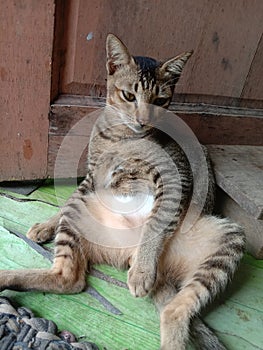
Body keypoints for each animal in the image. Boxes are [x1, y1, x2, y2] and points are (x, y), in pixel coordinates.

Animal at [0, 33, 245, 350]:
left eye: (161, 101)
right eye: (129, 96)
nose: (142, 120)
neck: (121, 136)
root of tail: (128, 251)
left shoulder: (176, 178)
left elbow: (157, 221)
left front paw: (143, 271)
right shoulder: (91, 178)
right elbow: (66, 199)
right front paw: (45, 225)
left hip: (227, 238)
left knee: (172, 309)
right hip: (82, 212)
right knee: (69, 278)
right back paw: (8, 277)